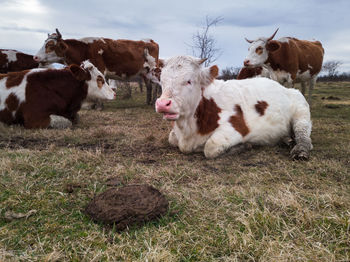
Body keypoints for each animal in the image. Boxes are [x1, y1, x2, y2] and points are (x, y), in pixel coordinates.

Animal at [155, 55, 312, 160]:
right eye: (162, 81)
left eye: (189, 81)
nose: (163, 104)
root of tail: (283, 87)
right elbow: (171, 138)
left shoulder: (236, 127)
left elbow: (210, 147)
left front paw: (244, 146)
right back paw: (286, 139)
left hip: (301, 111)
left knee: (303, 134)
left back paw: (300, 150)